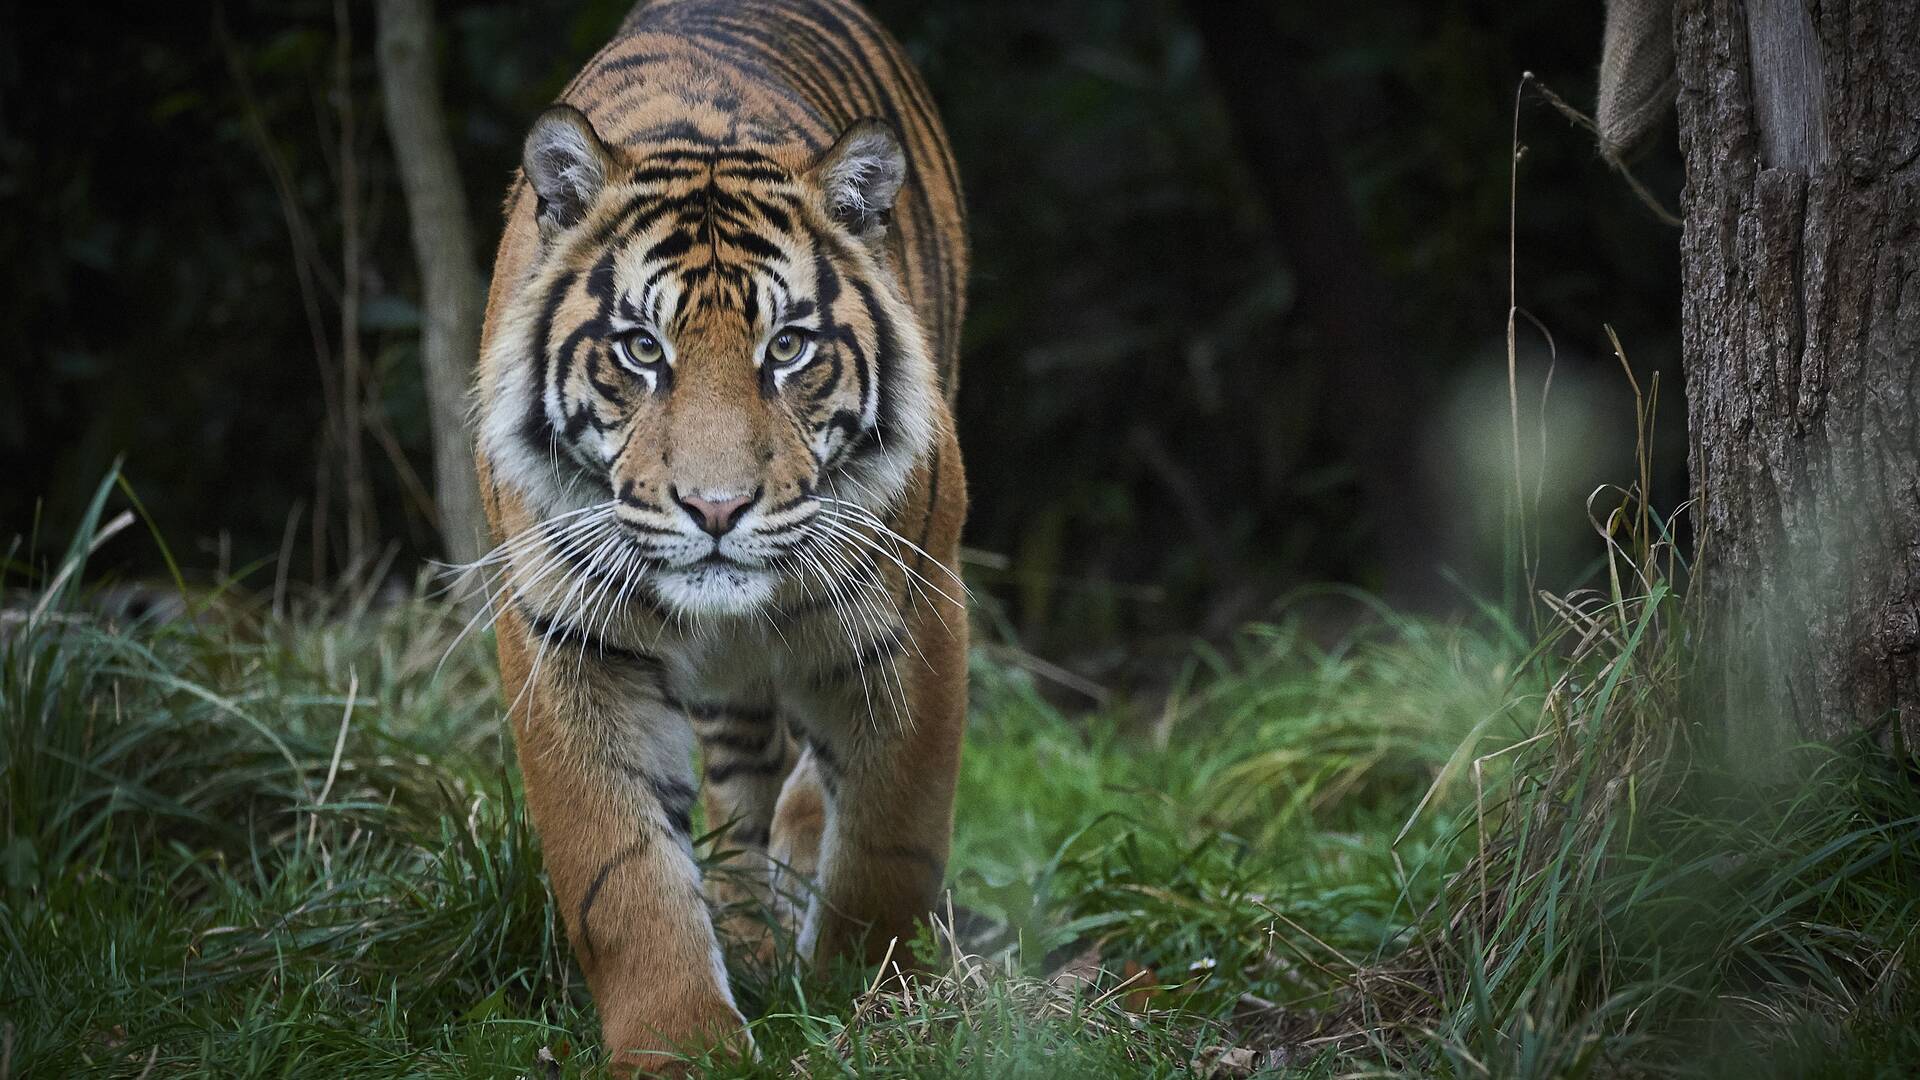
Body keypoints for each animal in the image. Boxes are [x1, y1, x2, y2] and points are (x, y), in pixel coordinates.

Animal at [468, 0, 975, 1068]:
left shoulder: (917, 611)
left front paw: (867, 1003)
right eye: (639, 349)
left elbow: (890, 837)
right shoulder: (569, 641)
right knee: (743, 787)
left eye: (787, 348)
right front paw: (682, 1048)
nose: (713, 509)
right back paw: (747, 922)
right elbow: (621, 873)